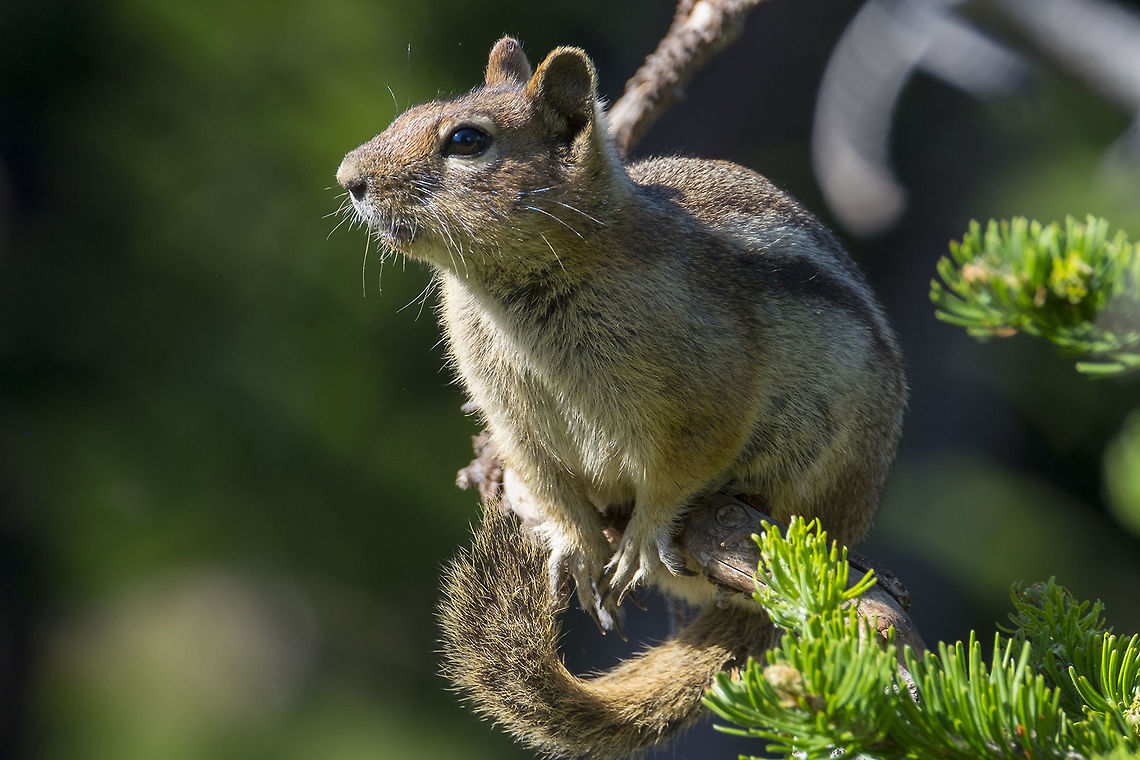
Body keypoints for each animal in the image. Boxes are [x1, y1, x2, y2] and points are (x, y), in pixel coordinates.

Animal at [336, 36, 906, 759]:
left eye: (467, 140)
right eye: (407, 113)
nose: (347, 177)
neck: (520, 291)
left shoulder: (708, 389)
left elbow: (685, 463)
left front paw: (641, 536)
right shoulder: (508, 409)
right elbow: (543, 473)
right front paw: (575, 543)